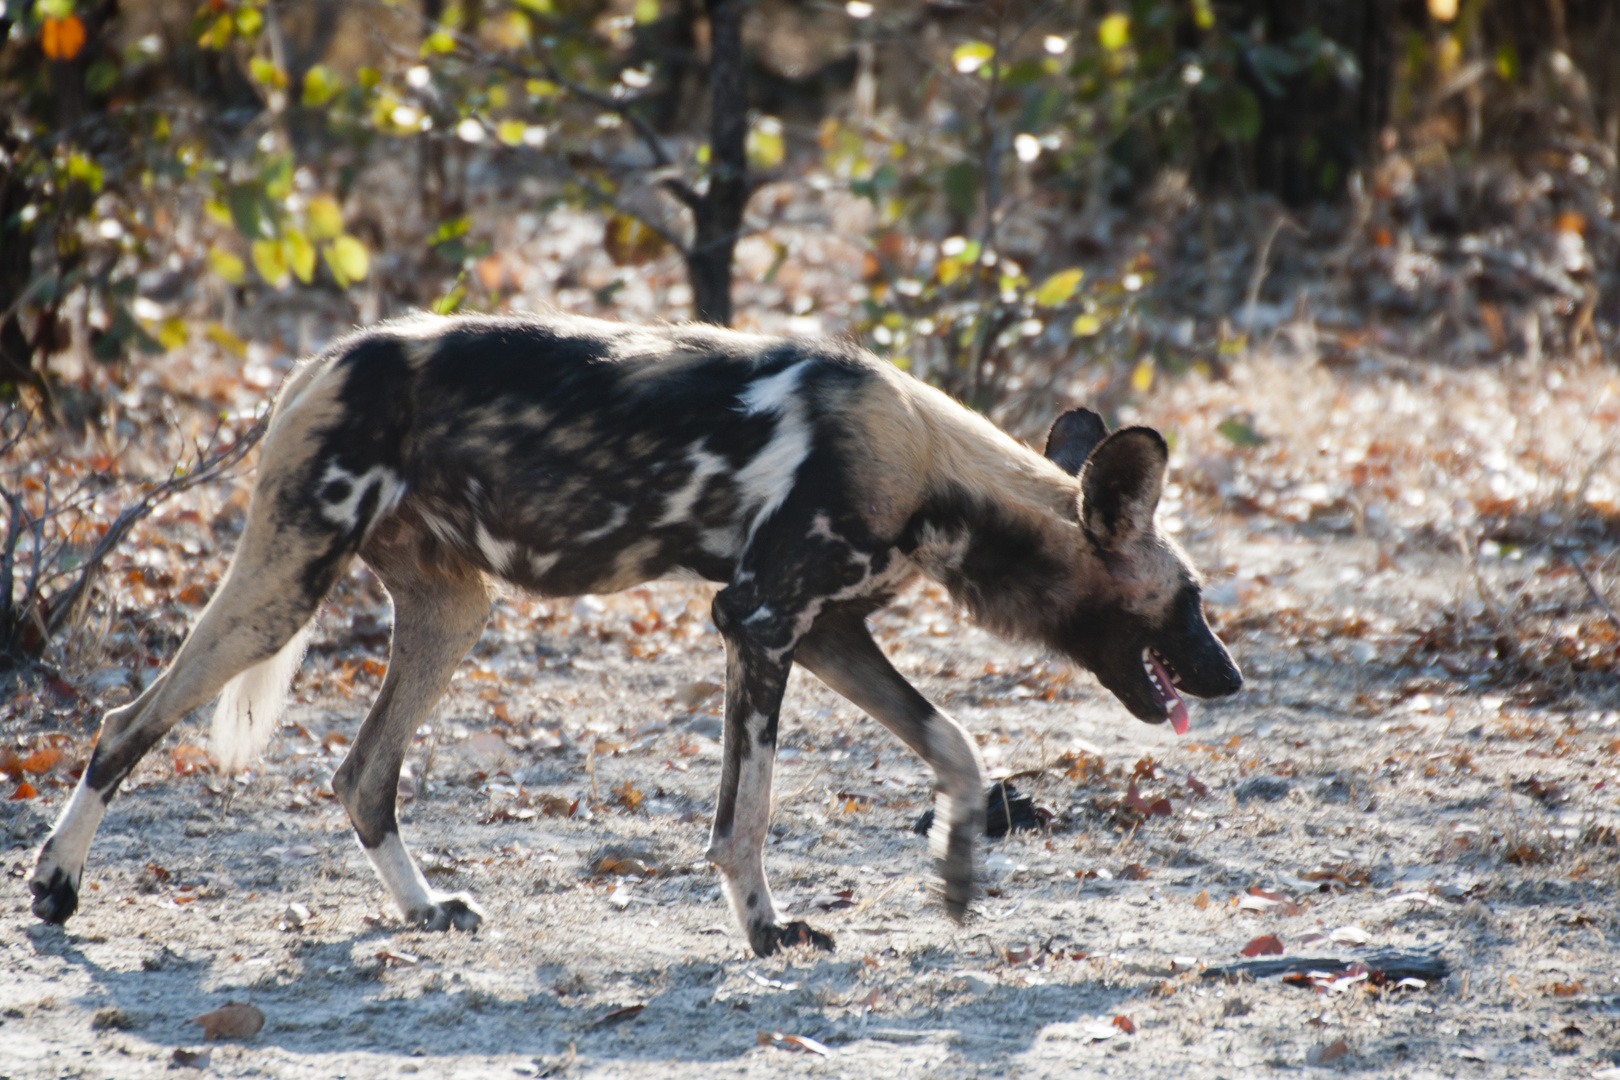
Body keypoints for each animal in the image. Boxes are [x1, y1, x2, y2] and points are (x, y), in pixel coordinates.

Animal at [28, 310, 1237, 952]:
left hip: (451, 612)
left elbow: (956, 744)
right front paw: (766, 933)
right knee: (123, 724)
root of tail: (319, 358)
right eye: (1191, 602)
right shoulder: (759, 622)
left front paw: (954, 870)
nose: (1229, 681)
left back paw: (426, 911)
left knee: (362, 775)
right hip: (287, 583)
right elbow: (745, 817)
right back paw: (55, 885)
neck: (935, 471)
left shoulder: (826, 633)